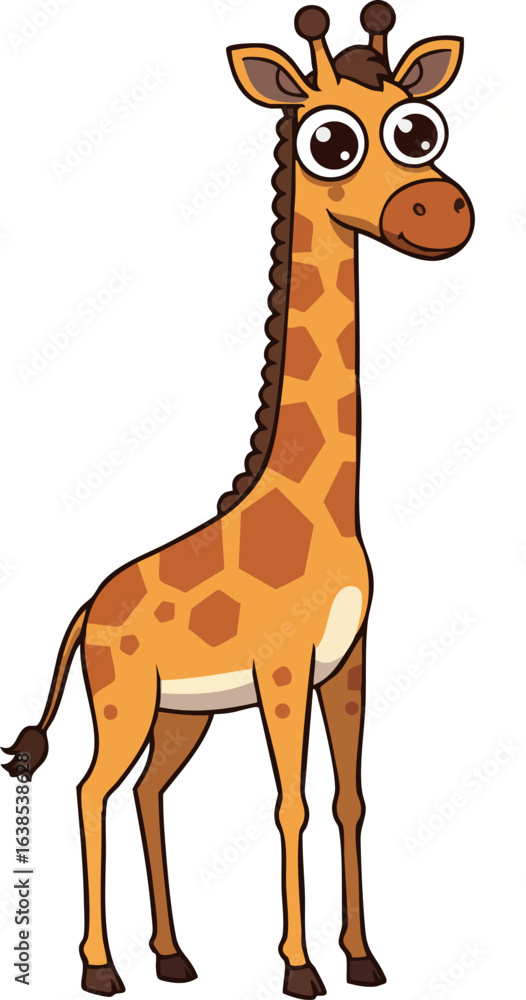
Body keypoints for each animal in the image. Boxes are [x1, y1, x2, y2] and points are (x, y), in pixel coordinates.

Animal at [3, 4, 474, 998]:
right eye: (328, 141)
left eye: (419, 129)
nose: (438, 210)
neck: (325, 506)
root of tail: (87, 611)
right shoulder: (283, 669)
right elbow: (289, 802)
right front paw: (301, 969)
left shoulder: (349, 663)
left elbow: (349, 797)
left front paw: (364, 958)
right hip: (124, 701)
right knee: (91, 789)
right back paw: (101, 968)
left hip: (181, 717)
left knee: (146, 792)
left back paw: (174, 956)